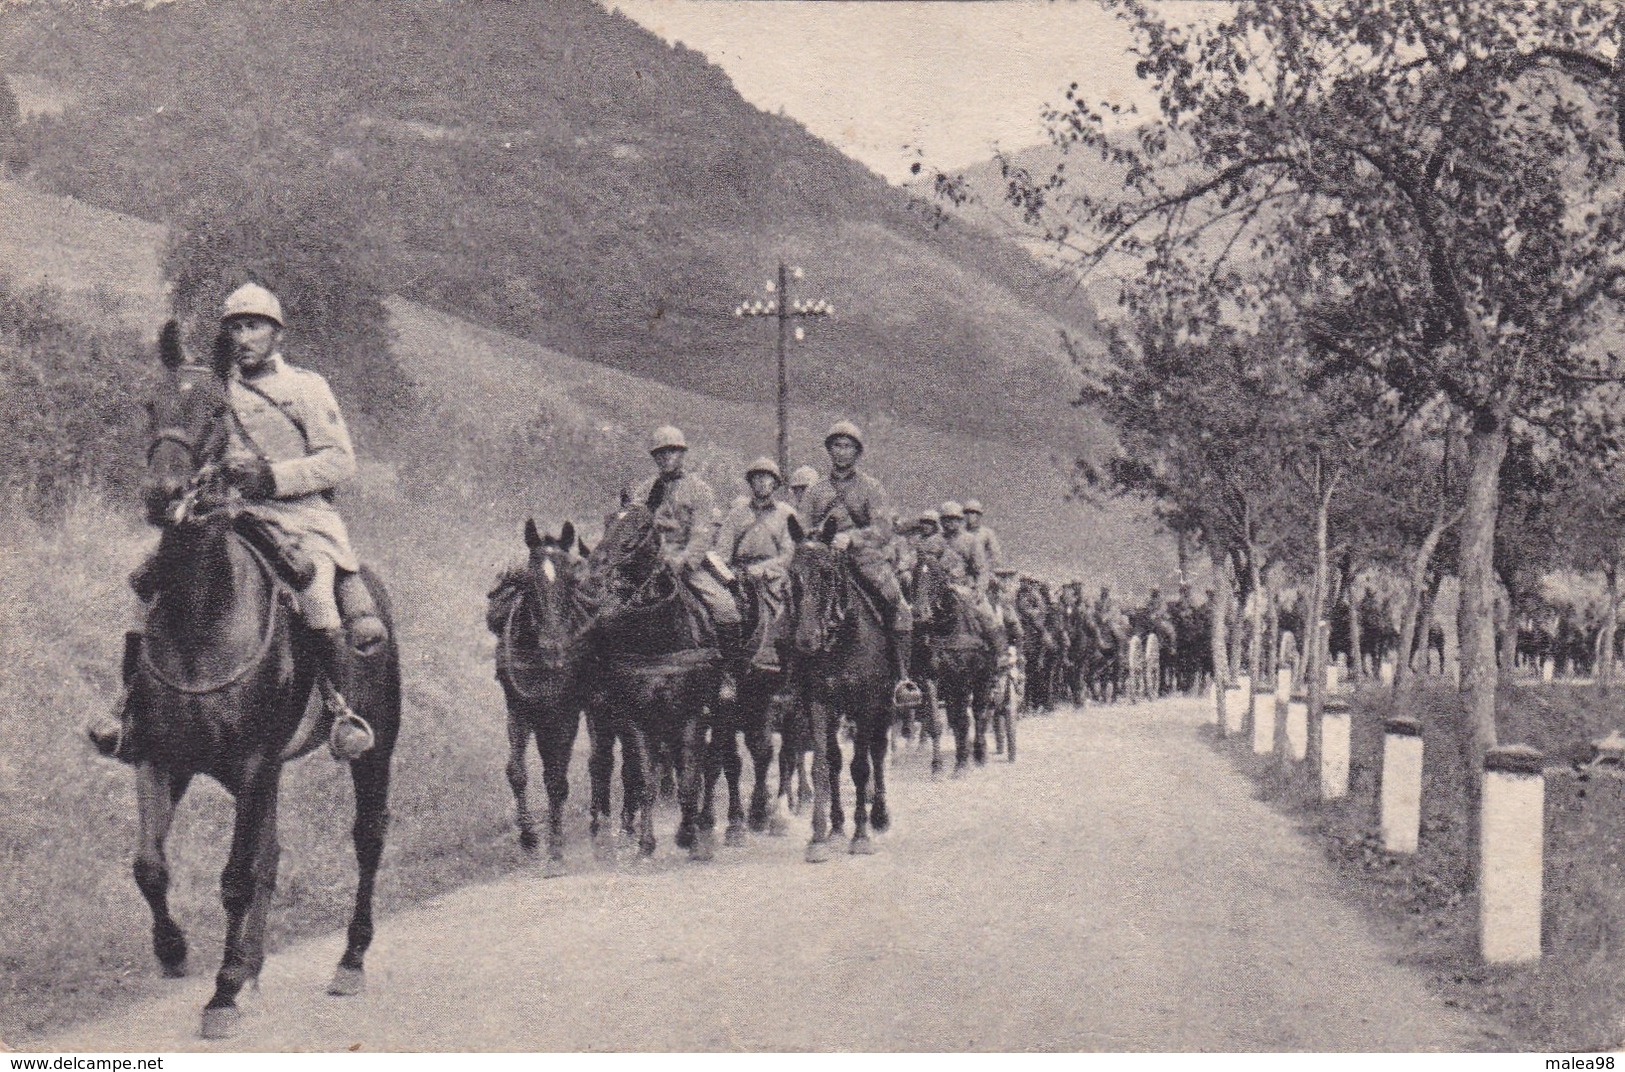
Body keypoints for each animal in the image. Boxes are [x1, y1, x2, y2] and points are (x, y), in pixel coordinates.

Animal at [133, 324, 399, 1039]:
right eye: (150, 404)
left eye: (215, 413)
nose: (164, 494)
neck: (201, 617)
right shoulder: (162, 757)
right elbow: (151, 866)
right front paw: (175, 952)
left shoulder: (252, 764)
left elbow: (233, 877)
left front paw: (222, 992)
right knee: (269, 858)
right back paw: (253, 968)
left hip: (373, 750)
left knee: (366, 840)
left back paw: (350, 960)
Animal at [500, 516, 598, 877]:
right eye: (528, 579)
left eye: (570, 579)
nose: (553, 645)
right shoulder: (519, 708)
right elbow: (517, 772)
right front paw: (529, 837)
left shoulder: (565, 714)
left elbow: (557, 779)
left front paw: (555, 848)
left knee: (598, 761)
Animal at [578, 503, 718, 864]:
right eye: (608, 522)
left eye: (643, 527)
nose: (595, 573)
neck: (659, 640)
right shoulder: (637, 720)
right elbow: (645, 780)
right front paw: (645, 843)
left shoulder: (691, 716)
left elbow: (688, 778)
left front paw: (689, 836)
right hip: (602, 718)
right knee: (604, 766)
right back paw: (605, 833)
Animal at [783, 519, 897, 864]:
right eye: (792, 573)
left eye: (826, 573)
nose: (806, 639)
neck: (842, 641)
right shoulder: (819, 704)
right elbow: (822, 766)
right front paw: (819, 837)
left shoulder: (865, 705)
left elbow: (860, 767)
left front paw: (860, 836)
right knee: (834, 760)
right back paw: (836, 827)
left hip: (884, 708)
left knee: (877, 752)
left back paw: (879, 816)